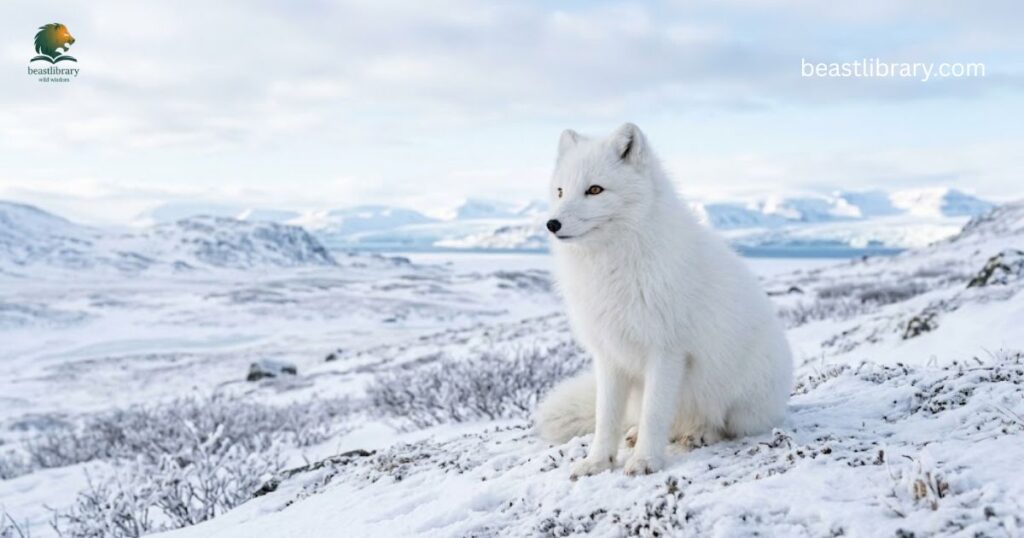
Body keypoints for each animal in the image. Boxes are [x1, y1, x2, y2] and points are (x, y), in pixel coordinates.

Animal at [535, 123, 793, 478]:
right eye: (560, 191)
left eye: (595, 190)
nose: (552, 224)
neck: (613, 264)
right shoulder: (610, 355)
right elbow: (606, 418)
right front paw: (598, 461)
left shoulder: (667, 351)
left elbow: (655, 413)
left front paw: (646, 461)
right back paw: (639, 434)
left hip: (741, 400)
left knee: (721, 424)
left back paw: (698, 434)